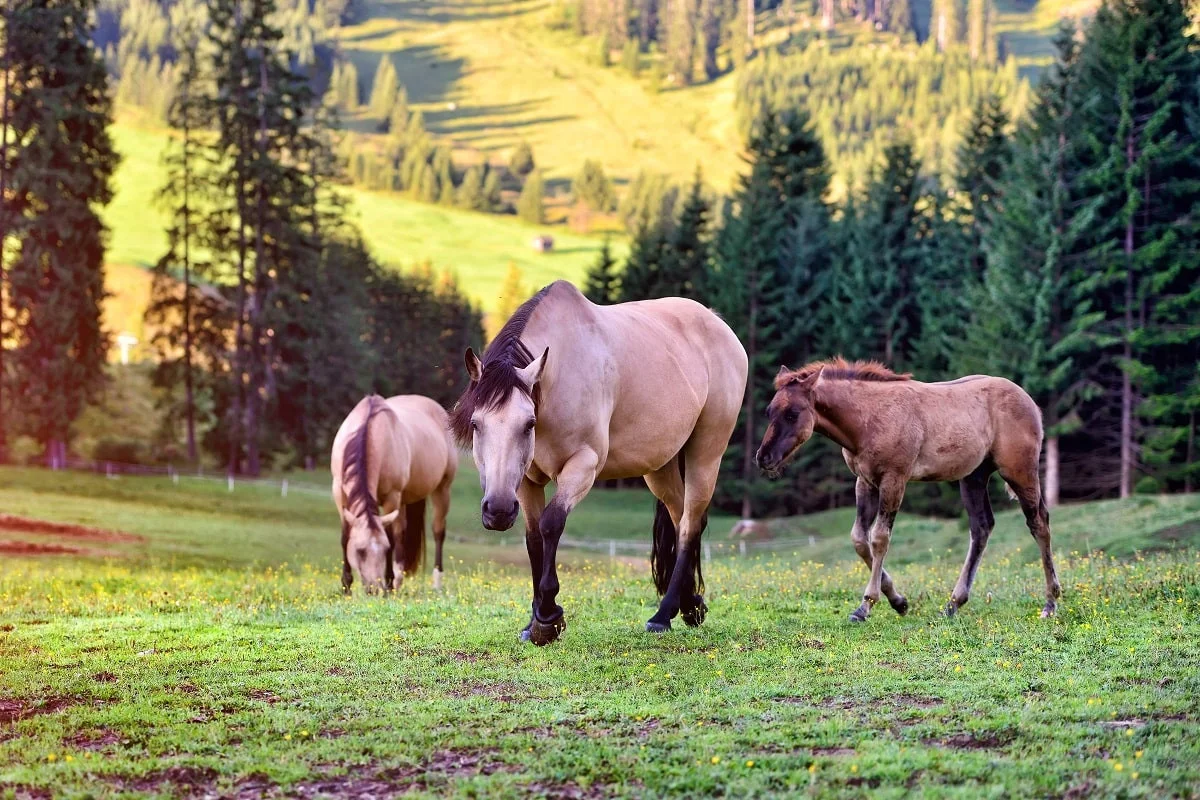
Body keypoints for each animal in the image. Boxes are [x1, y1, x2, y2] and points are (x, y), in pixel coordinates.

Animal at [333, 393, 458, 594]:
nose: (374, 589)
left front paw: (388, 583)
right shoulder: (339, 493)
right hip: (404, 500)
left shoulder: (391, 497)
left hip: (442, 489)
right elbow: (345, 537)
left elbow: (391, 537)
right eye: (360, 551)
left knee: (438, 532)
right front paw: (346, 587)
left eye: (384, 550)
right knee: (402, 533)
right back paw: (399, 581)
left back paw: (435, 583)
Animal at [451, 281, 748, 642]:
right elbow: (533, 538)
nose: (497, 511)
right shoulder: (526, 481)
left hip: (706, 452)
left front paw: (548, 618)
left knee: (691, 524)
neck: (560, 376)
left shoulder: (584, 465)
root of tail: (717, 322)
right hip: (659, 467)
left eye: (528, 424)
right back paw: (690, 605)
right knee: (682, 521)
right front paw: (533, 622)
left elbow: (551, 524)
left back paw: (663, 615)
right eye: (476, 424)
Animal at [753, 357, 1065, 623]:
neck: (869, 418)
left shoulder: (895, 478)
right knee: (982, 527)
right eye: (769, 412)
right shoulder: (865, 481)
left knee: (1039, 522)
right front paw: (899, 601)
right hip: (973, 477)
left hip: (1019, 471)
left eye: (793, 414)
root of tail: (1030, 401)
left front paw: (866, 606)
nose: (763, 458)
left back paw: (1050, 603)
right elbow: (859, 539)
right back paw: (952, 605)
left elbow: (879, 538)